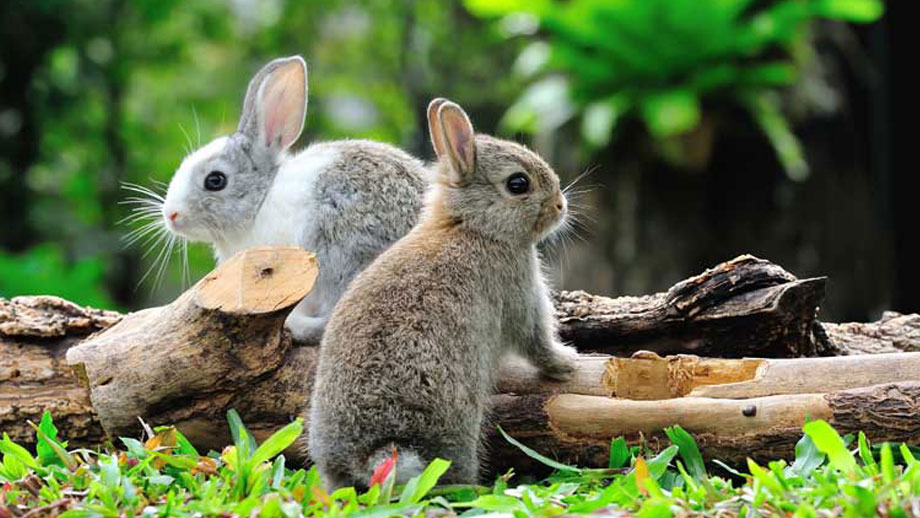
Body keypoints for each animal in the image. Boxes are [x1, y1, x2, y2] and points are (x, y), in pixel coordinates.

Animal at [308, 98, 579, 489]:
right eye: (518, 184)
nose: (560, 206)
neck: (472, 226)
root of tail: (371, 453)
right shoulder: (520, 293)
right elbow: (537, 342)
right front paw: (567, 363)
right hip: (456, 426)